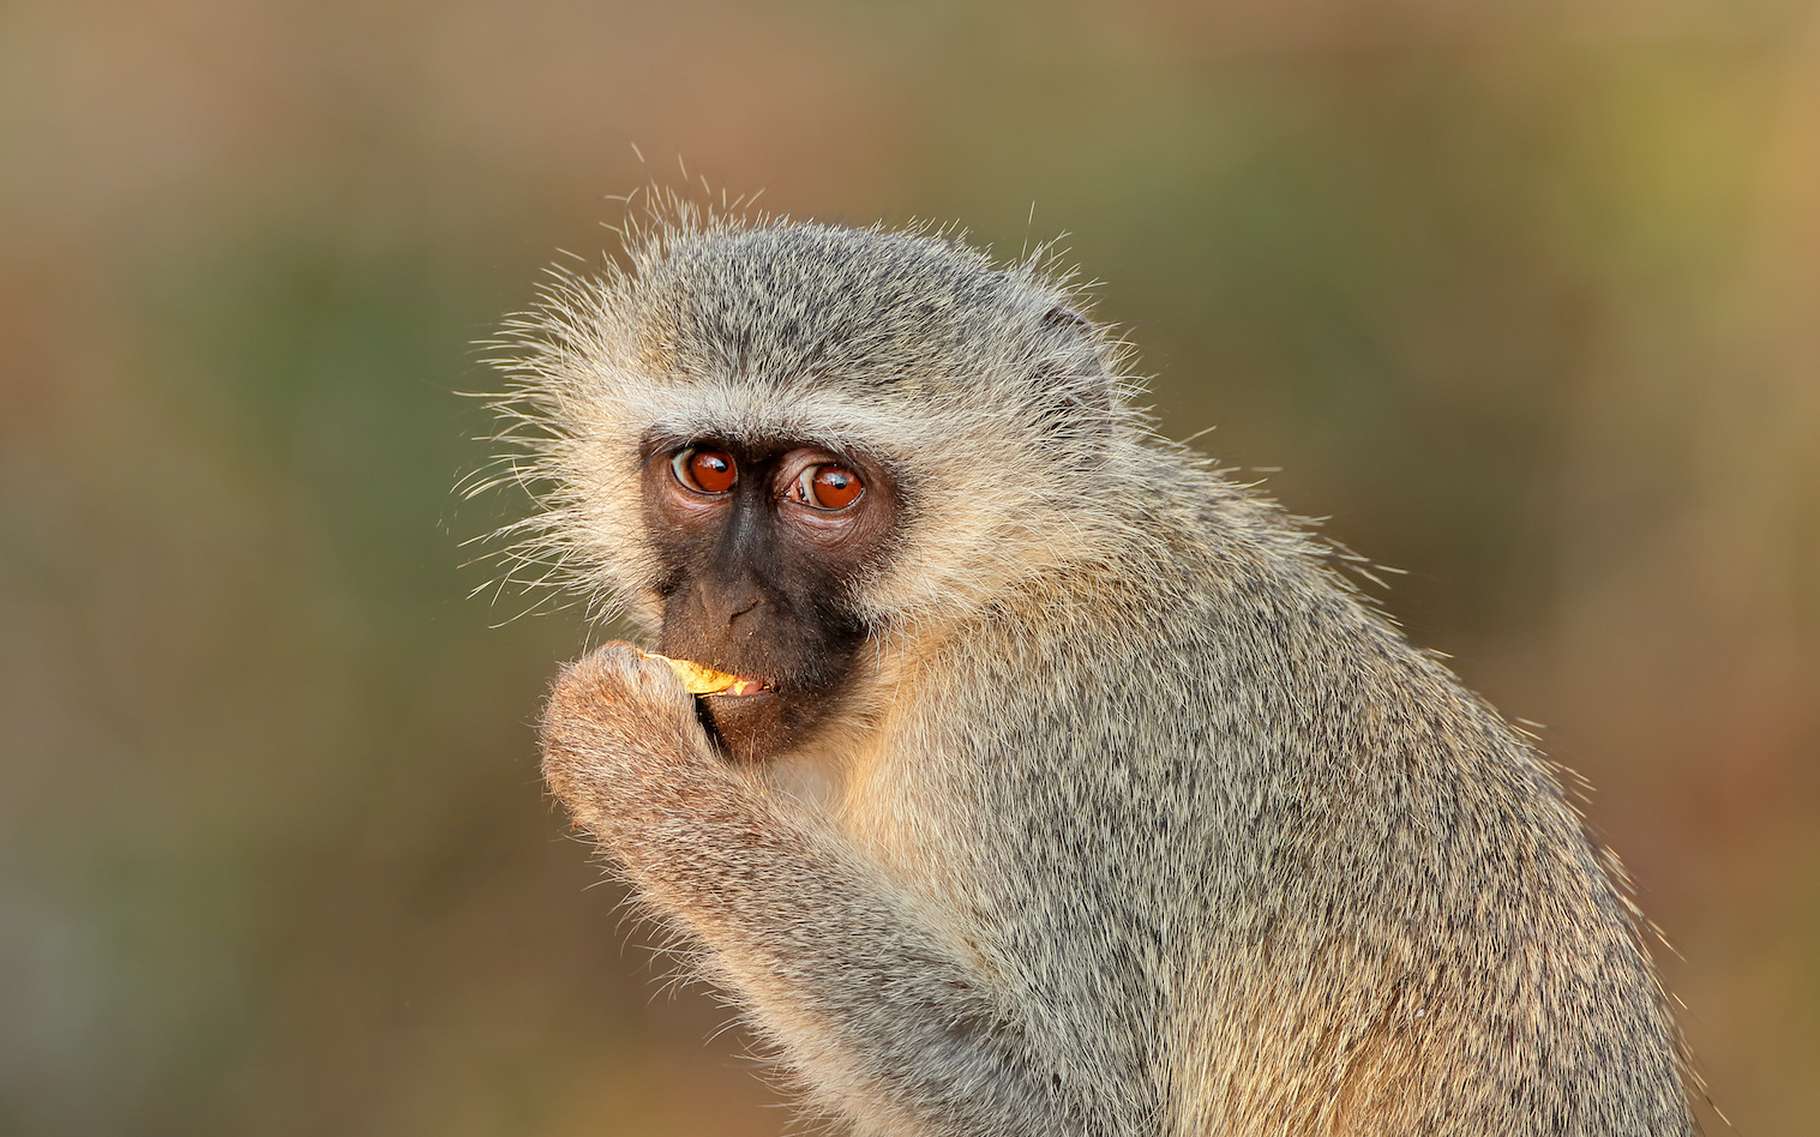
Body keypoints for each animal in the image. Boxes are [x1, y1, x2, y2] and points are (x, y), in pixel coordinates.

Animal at [495, 208, 1688, 1127]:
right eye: (704, 470)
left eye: (829, 489)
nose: (725, 605)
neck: (983, 594)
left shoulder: (1037, 741)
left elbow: (1070, 1109)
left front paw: (625, 757)